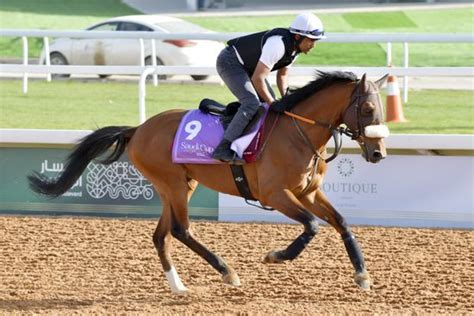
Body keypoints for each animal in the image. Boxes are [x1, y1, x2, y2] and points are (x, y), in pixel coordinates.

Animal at [27, 71, 388, 294]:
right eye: (367, 108)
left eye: (382, 109)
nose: (378, 152)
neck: (298, 132)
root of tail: (138, 129)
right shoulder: (277, 193)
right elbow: (312, 225)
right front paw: (275, 256)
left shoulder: (309, 191)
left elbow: (341, 222)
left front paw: (362, 274)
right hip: (173, 184)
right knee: (180, 230)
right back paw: (227, 271)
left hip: (178, 186)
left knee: (161, 235)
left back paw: (178, 286)